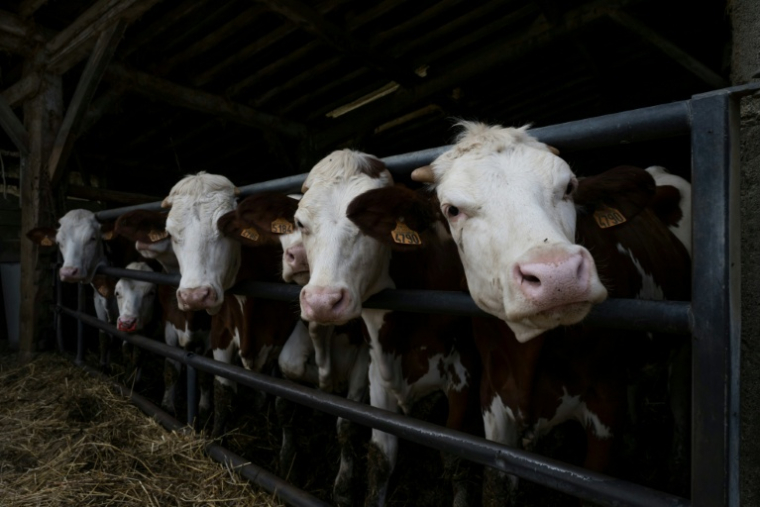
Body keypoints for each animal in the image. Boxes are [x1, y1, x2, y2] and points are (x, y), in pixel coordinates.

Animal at [295, 149, 482, 507]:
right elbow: (381, 460)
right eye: (300, 222)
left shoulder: (463, 370)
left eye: (371, 218)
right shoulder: (377, 376)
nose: (323, 301)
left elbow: (455, 458)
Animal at [390, 121, 692, 503]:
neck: (528, 354)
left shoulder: (605, 404)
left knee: (680, 405)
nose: (556, 276)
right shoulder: (493, 399)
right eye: (452, 210)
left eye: (568, 188)